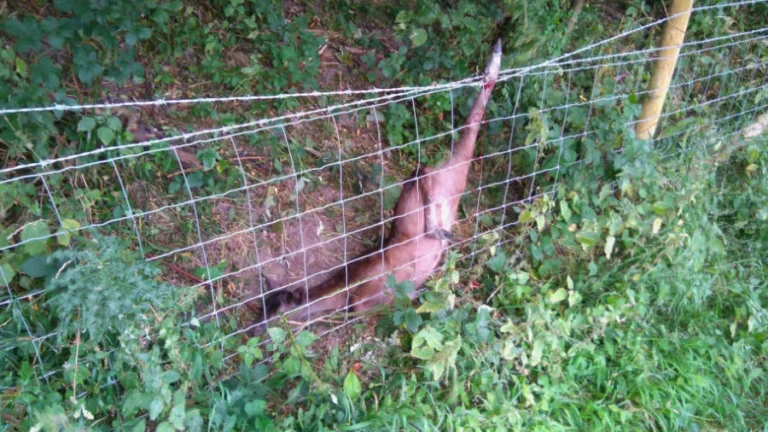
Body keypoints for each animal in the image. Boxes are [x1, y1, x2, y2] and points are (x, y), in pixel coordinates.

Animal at [264, 40, 504, 322]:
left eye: (276, 307)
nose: (255, 328)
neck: (344, 289)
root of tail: (454, 169)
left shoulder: (365, 298)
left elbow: (376, 305)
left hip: (428, 183)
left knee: (422, 170)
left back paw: (435, 231)